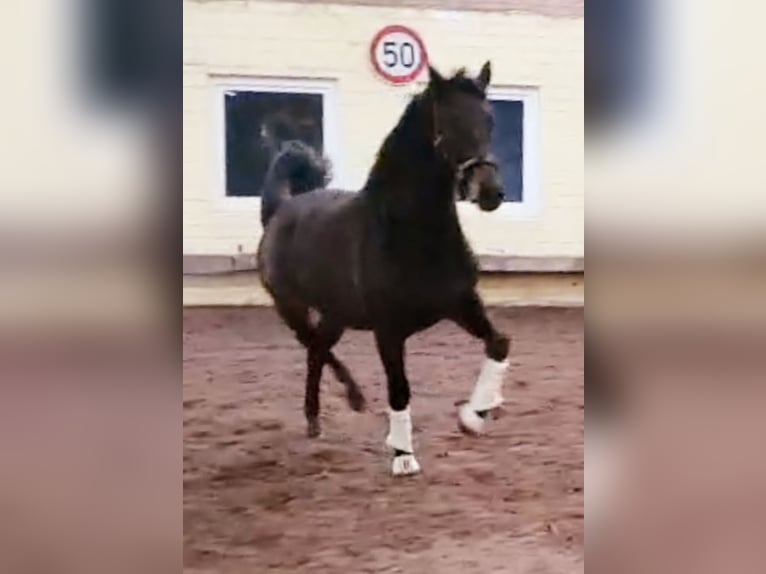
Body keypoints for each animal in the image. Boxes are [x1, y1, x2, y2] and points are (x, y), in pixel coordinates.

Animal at [260, 63, 512, 476]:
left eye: (490, 119)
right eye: (449, 121)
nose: (489, 192)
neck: (413, 236)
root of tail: (280, 210)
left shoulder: (462, 303)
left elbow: (499, 343)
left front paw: (473, 418)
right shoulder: (389, 331)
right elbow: (399, 388)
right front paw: (403, 456)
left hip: (336, 313)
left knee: (317, 350)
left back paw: (317, 420)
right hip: (291, 308)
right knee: (314, 347)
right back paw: (353, 399)